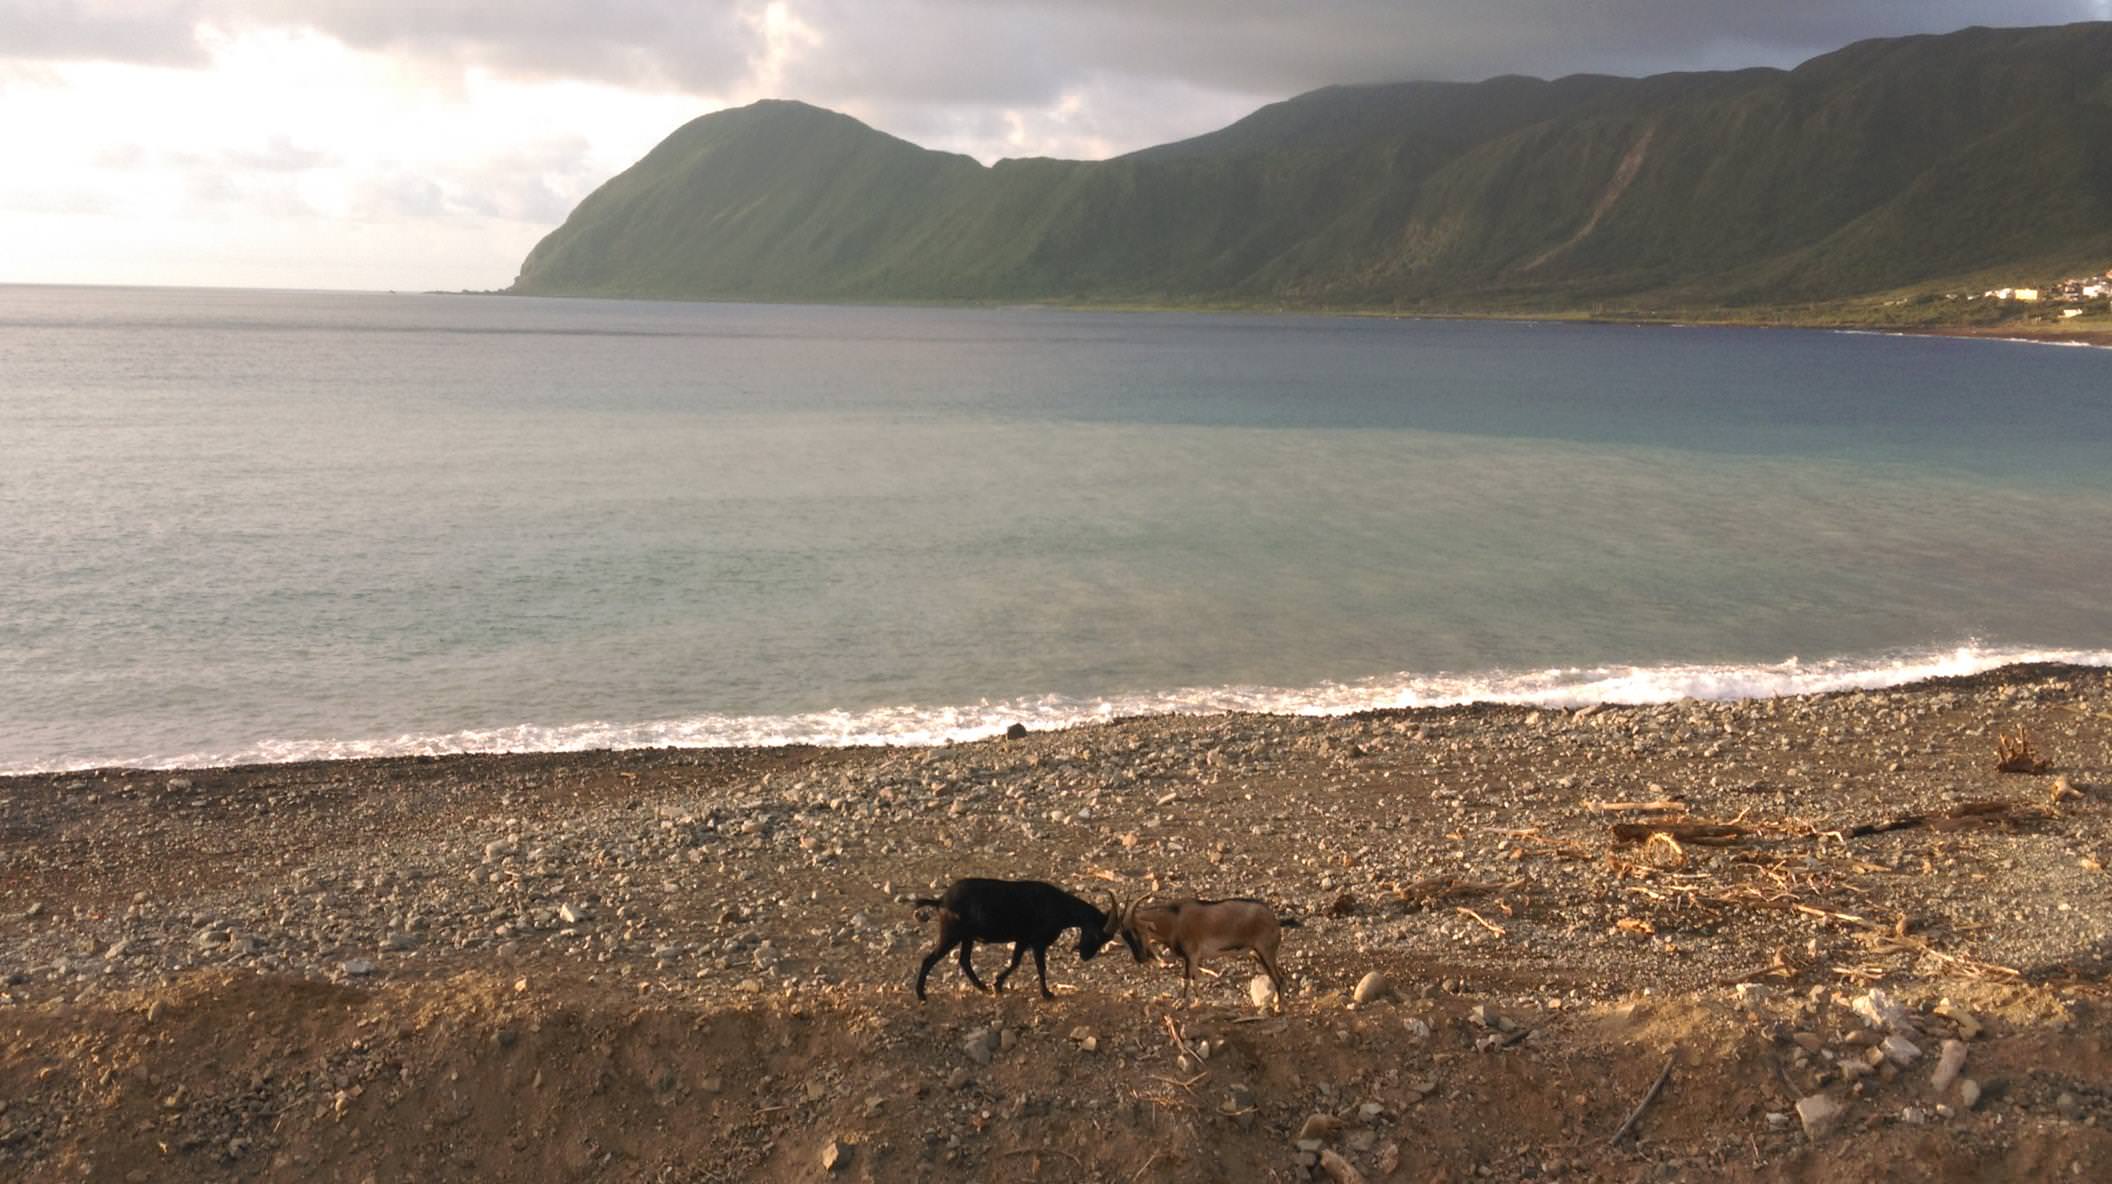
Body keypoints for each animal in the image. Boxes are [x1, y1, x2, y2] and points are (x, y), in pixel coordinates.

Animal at [903, 877, 1140, 996]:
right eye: (1097, 934)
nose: (1085, 956)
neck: (1060, 907)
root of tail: (941, 901)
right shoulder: (1038, 942)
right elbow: (1040, 967)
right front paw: (1047, 993)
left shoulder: (1022, 940)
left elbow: (1015, 962)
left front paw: (997, 984)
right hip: (951, 934)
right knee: (929, 959)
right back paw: (921, 994)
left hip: (966, 937)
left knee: (964, 961)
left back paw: (982, 987)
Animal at [1115, 894, 1292, 996]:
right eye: (1125, 937)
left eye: (1138, 931)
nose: (1140, 958)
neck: (1175, 920)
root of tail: (1274, 920)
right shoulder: (1192, 958)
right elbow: (1194, 979)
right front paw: (1197, 1002)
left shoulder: (1191, 954)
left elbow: (1187, 980)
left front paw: (1183, 1004)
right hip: (1257, 954)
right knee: (1276, 978)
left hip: (1266, 951)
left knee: (1279, 980)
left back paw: (1278, 1009)